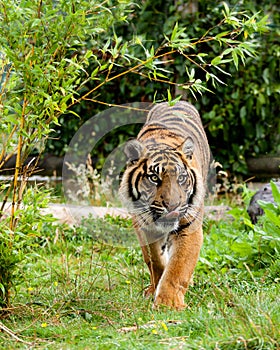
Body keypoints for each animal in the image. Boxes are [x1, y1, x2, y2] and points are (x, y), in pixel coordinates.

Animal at [118, 100, 210, 308]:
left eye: (181, 178)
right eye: (154, 178)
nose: (172, 206)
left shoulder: (189, 228)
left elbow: (178, 267)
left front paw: (169, 303)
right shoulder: (143, 226)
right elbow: (155, 260)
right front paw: (155, 290)